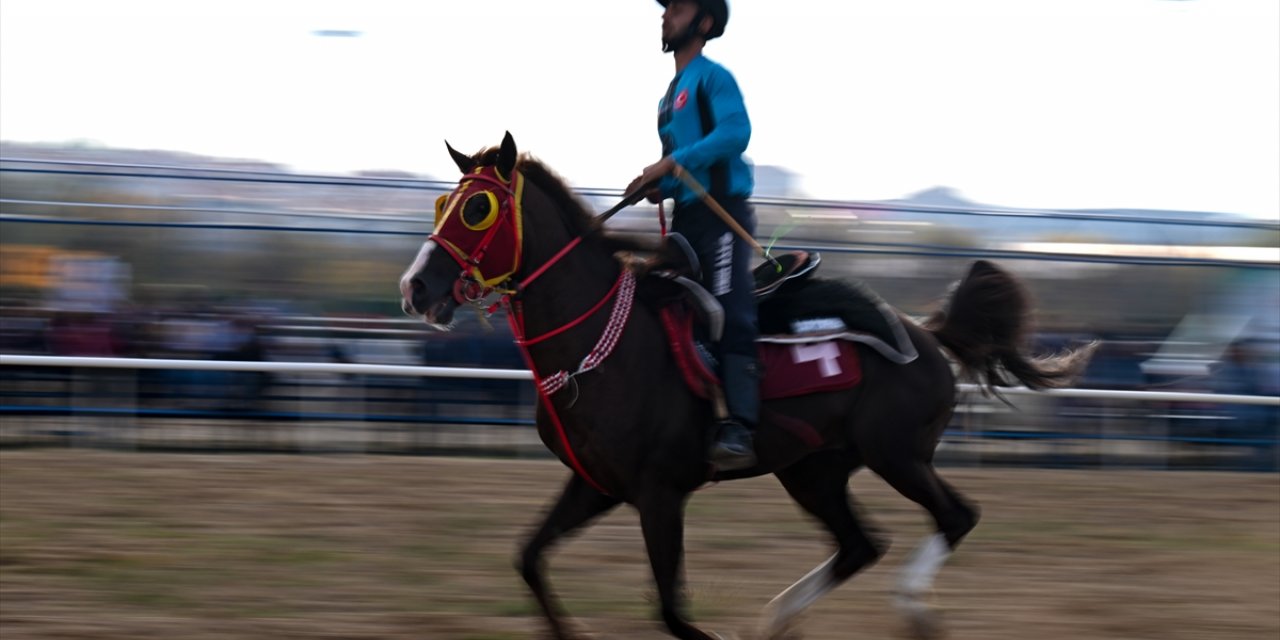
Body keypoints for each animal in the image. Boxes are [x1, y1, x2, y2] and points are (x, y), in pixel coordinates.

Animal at [396, 132, 1090, 637]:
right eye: (441, 204)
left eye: (477, 208)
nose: (415, 287)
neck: (603, 341)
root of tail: (927, 333)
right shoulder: (596, 484)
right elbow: (530, 559)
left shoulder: (659, 493)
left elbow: (673, 612)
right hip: (812, 469)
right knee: (859, 544)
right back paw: (779, 618)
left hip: (895, 453)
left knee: (955, 516)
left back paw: (913, 608)